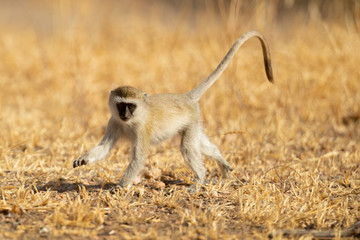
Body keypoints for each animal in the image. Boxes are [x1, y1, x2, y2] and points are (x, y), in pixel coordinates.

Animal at [72, 30, 272, 188]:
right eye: (121, 105)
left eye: (131, 106)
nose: (125, 114)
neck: (131, 121)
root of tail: (185, 97)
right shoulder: (113, 121)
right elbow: (104, 148)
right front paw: (83, 159)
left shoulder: (142, 129)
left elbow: (138, 157)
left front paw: (121, 186)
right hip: (194, 122)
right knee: (199, 144)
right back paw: (220, 161)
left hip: (192, 120)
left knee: (187, 147)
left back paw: (200, 178)